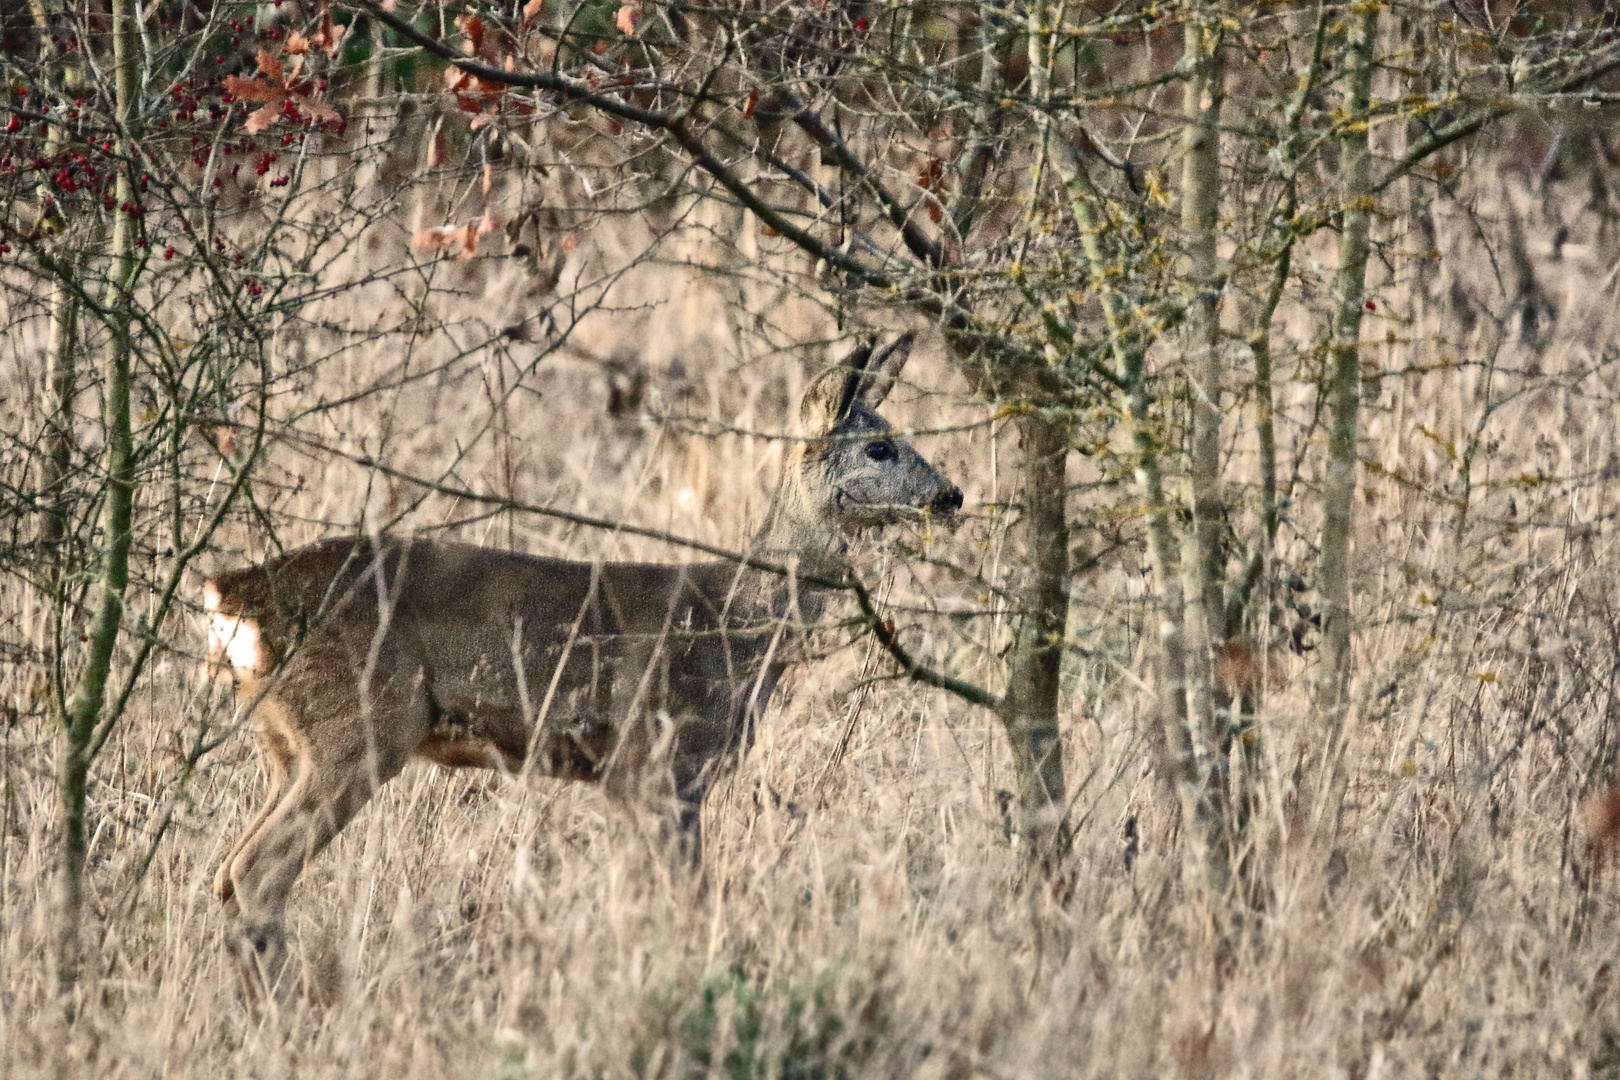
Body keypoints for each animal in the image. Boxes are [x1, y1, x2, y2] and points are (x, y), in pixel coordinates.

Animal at [202, 335, 959, 990]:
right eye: (880, 446)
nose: (950, 495)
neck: (733, 624)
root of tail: (233, 591)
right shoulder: (660, 756)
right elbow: (688, 898)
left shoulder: (622, 778)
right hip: (359, 725)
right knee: (257, 873)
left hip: (287, 741)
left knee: (227, 873)